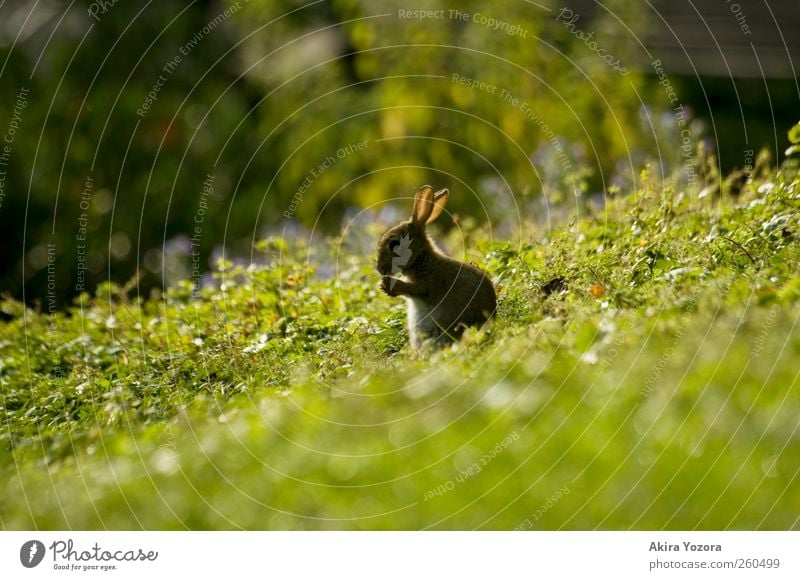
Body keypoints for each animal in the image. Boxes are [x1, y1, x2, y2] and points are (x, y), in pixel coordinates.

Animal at [378, 186, 496, 348]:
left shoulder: (428, 283)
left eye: (394, 244)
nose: (379, 268)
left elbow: (413, 289)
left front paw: (387, 285)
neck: (422, 259)